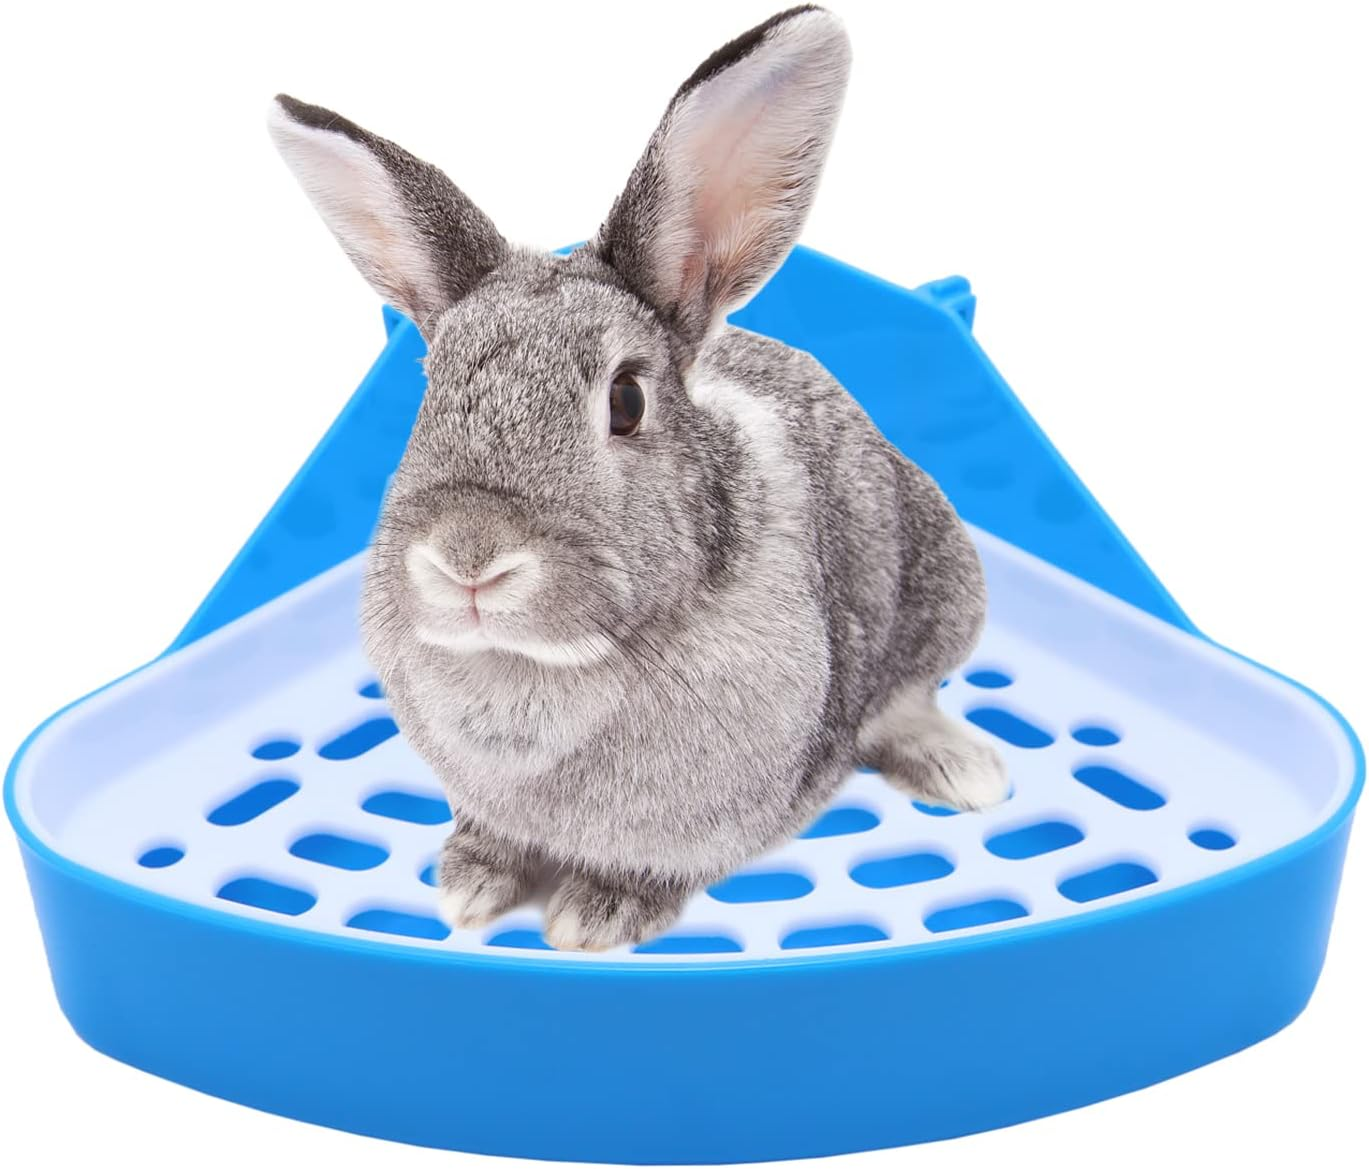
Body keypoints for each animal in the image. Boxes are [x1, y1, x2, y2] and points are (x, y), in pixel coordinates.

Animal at [268, 4, 1007, 952]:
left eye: (625, 399)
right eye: (431, 387)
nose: (469, 557)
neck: (538, 663)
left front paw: (594, 916)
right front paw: (469, 884)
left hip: (943, 591)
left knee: (911, 695)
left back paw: (961, 768)